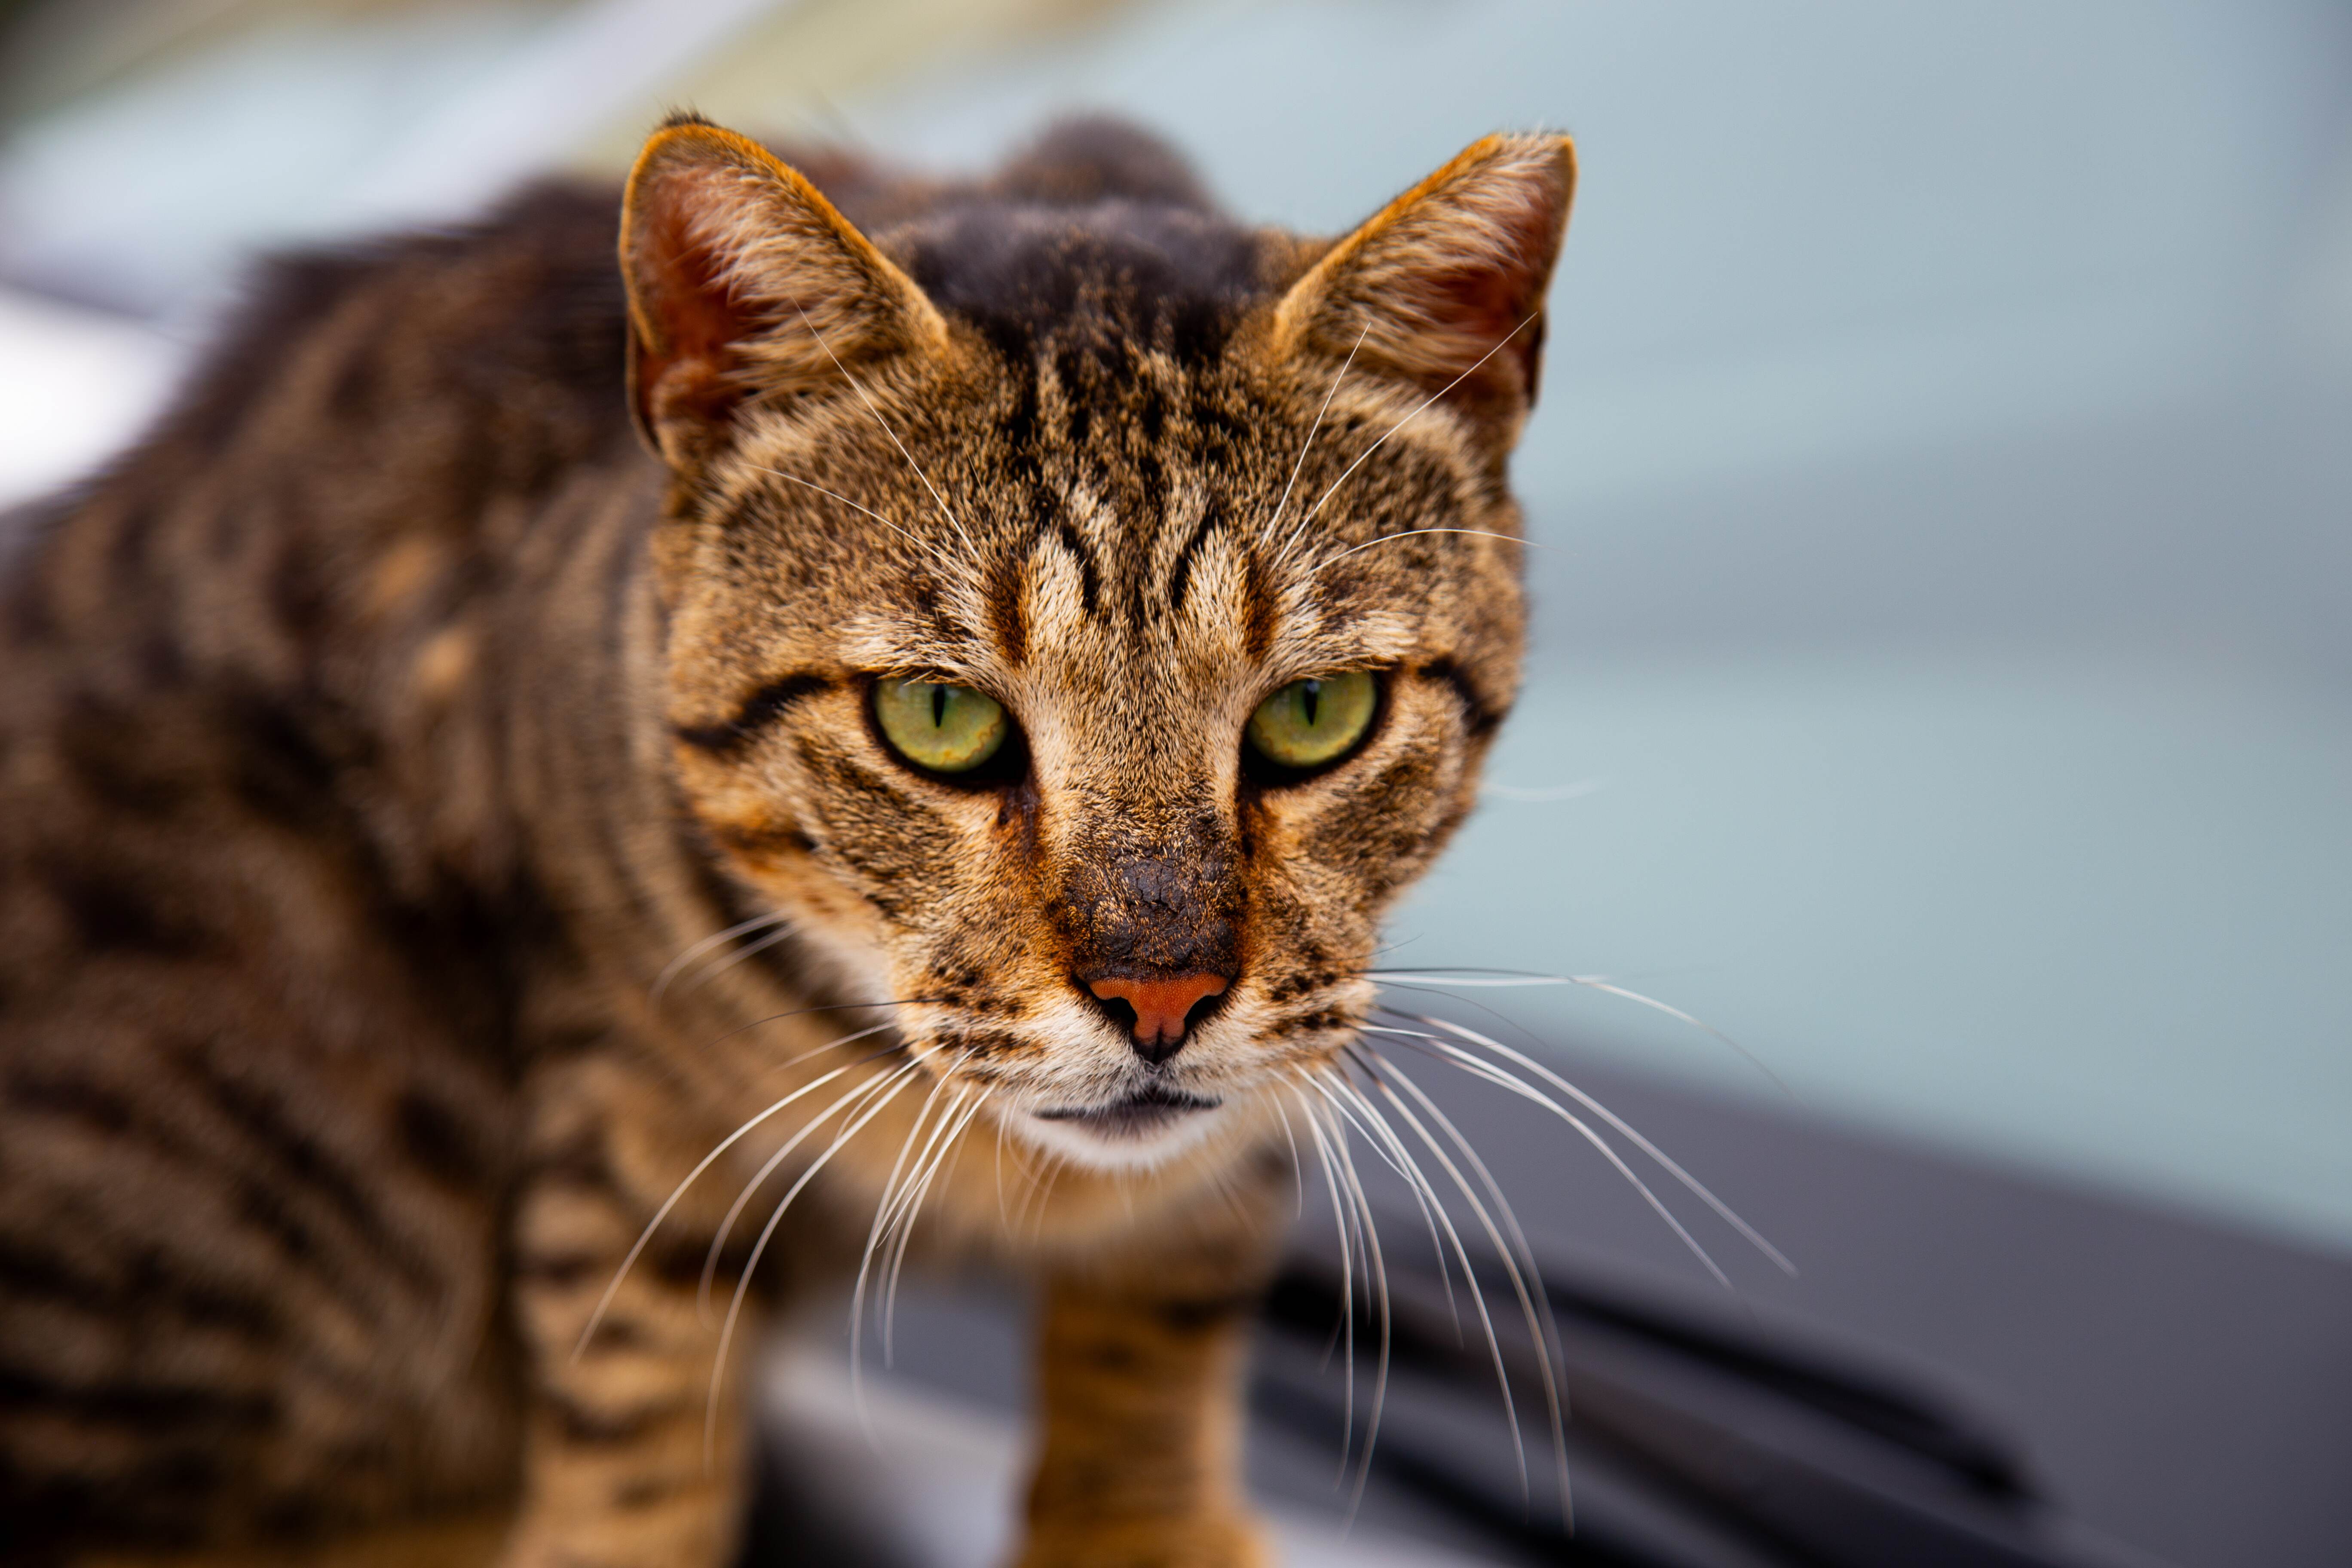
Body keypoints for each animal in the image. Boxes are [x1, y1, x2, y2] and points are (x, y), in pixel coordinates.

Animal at [4, 113, 1580, 1568]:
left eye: (1316, 711)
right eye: (939, 714)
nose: (1162, 994)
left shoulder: (1258, 1100)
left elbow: (1177, 1281)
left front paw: (1143, 1519)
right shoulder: (623, 1114)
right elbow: (633, 1407)